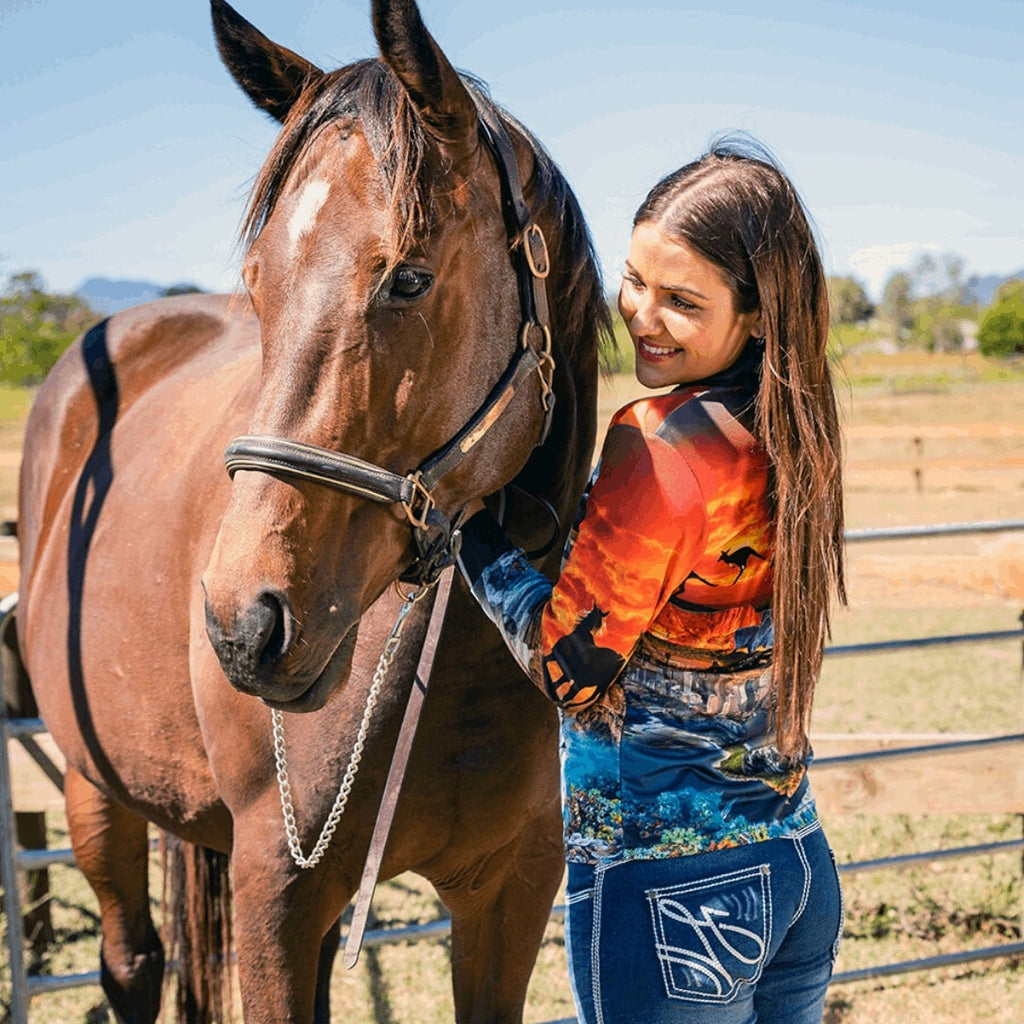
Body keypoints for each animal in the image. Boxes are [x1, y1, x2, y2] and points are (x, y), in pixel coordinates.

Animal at [14, 2, 606, 1024]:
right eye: (259, 284)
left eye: (407, 277)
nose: (243, 624)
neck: (452, 672)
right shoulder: (275, 895)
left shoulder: (512, 894)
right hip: (95, 789)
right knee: (132, 961)